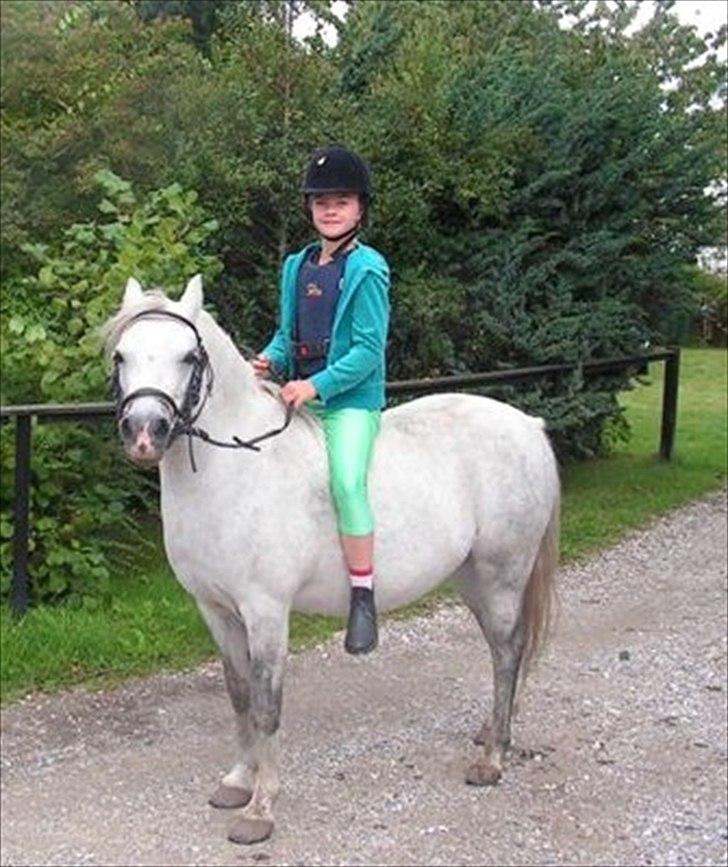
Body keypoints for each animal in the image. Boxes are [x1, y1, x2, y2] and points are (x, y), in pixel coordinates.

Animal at [103, 274, 560, 845]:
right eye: (121, 355)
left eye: (188, 356)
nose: (145, 432)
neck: (235, 469)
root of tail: (528, 425)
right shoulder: (216, 611)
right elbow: (238, 695)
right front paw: (237, 781)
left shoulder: (266, 612)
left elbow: (267, 706)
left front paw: (260, 809)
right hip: (472, 578)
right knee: (505, 652)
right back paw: (493, 732)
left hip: (502, 576)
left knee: (507, 650)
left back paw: (493, 757)